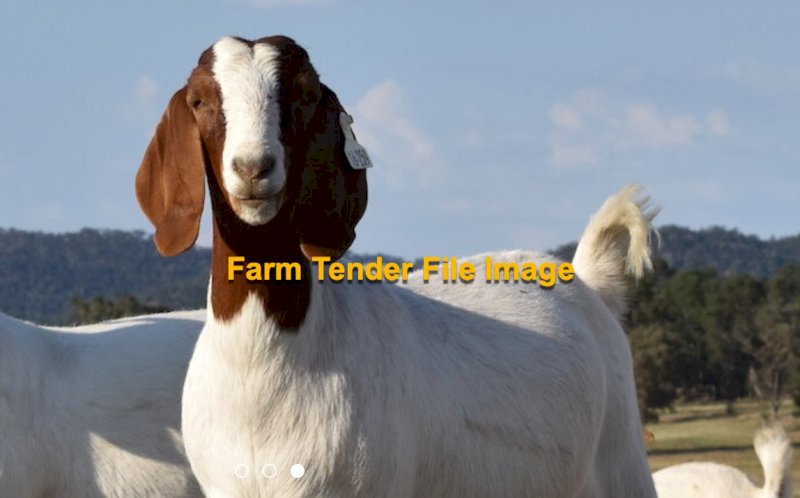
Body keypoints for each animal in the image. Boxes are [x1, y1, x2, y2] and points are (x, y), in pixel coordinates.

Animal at [136, 34, 658, 497]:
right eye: (200, 100)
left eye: (304, 96)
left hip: (624, 462)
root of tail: (589, 283)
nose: (253, 168)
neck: (261, 358)